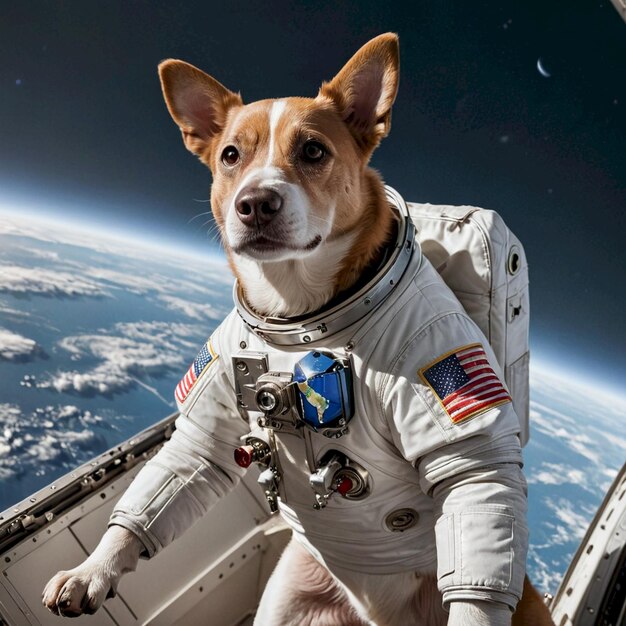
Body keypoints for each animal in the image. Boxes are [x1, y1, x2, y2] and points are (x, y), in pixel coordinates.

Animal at [42, 35, 552, 624]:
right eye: (230, 156)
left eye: (312, 151)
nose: (255, 203)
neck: (297, 313)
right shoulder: (211, 414)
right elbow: (183, 464)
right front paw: (91, 572)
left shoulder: (443, 371)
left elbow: (477, 472)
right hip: (290, 596)